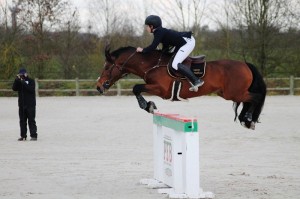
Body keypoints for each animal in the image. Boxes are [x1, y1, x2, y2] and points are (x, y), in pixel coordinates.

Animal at [95, 45, 264, 130]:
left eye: (107, 67)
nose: (98, 86)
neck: (152, 64)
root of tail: (245, 64)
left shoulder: (160, 89)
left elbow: (136, 88)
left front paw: (148, 106)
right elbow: (136, 88)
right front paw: (148, 105)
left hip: (233, 93)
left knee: (256, 98)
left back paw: (249, 118)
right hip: (228, 93)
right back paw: (246, 119)